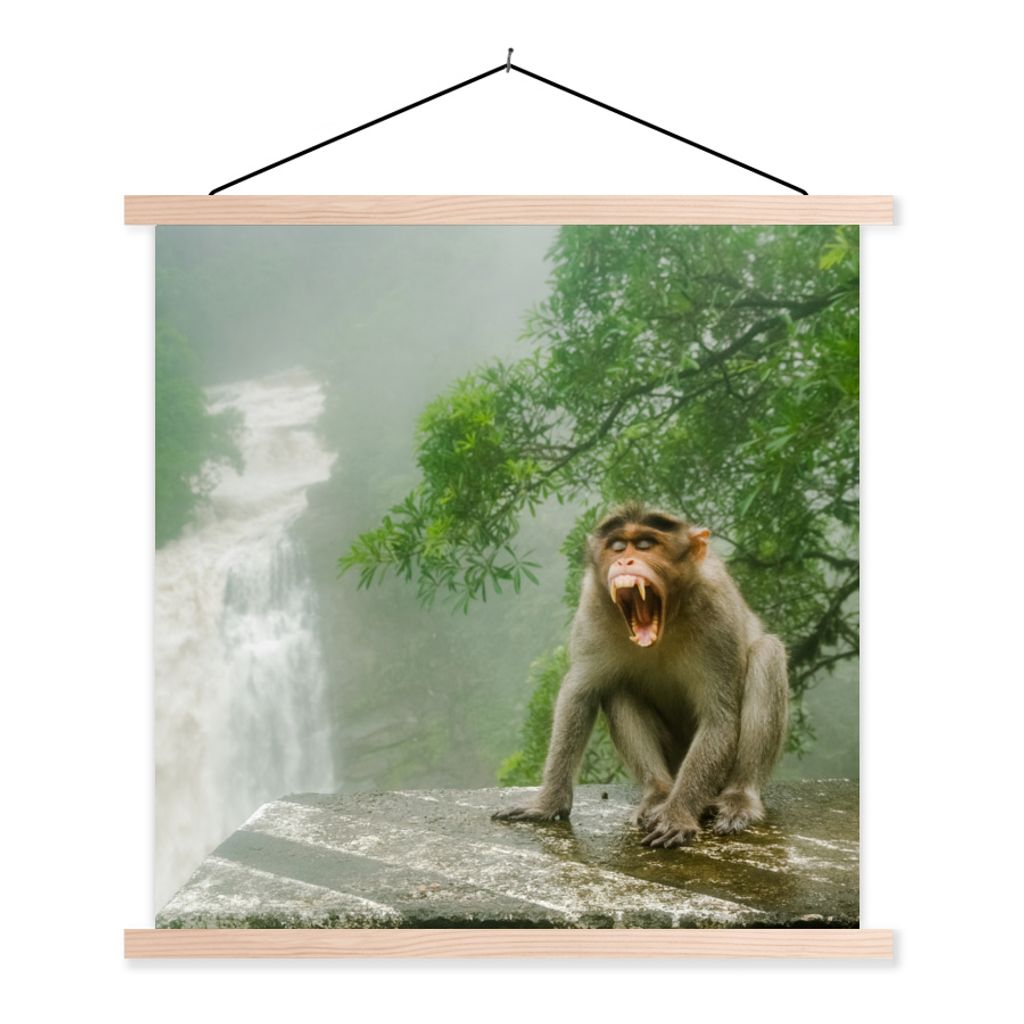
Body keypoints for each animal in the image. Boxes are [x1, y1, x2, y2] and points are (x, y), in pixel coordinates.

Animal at [493, 502, 788, 848]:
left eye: (646, 545)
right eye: (618, 546)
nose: (625, 560)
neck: (668, 618)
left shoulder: (719, 614)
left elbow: (719, 718)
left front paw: (677, 814)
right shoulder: (592, 606)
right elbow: (579, 694)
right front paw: (548, 803)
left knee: (768, 654)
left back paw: (738, 798)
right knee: (616, 687)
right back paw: (657, 793)